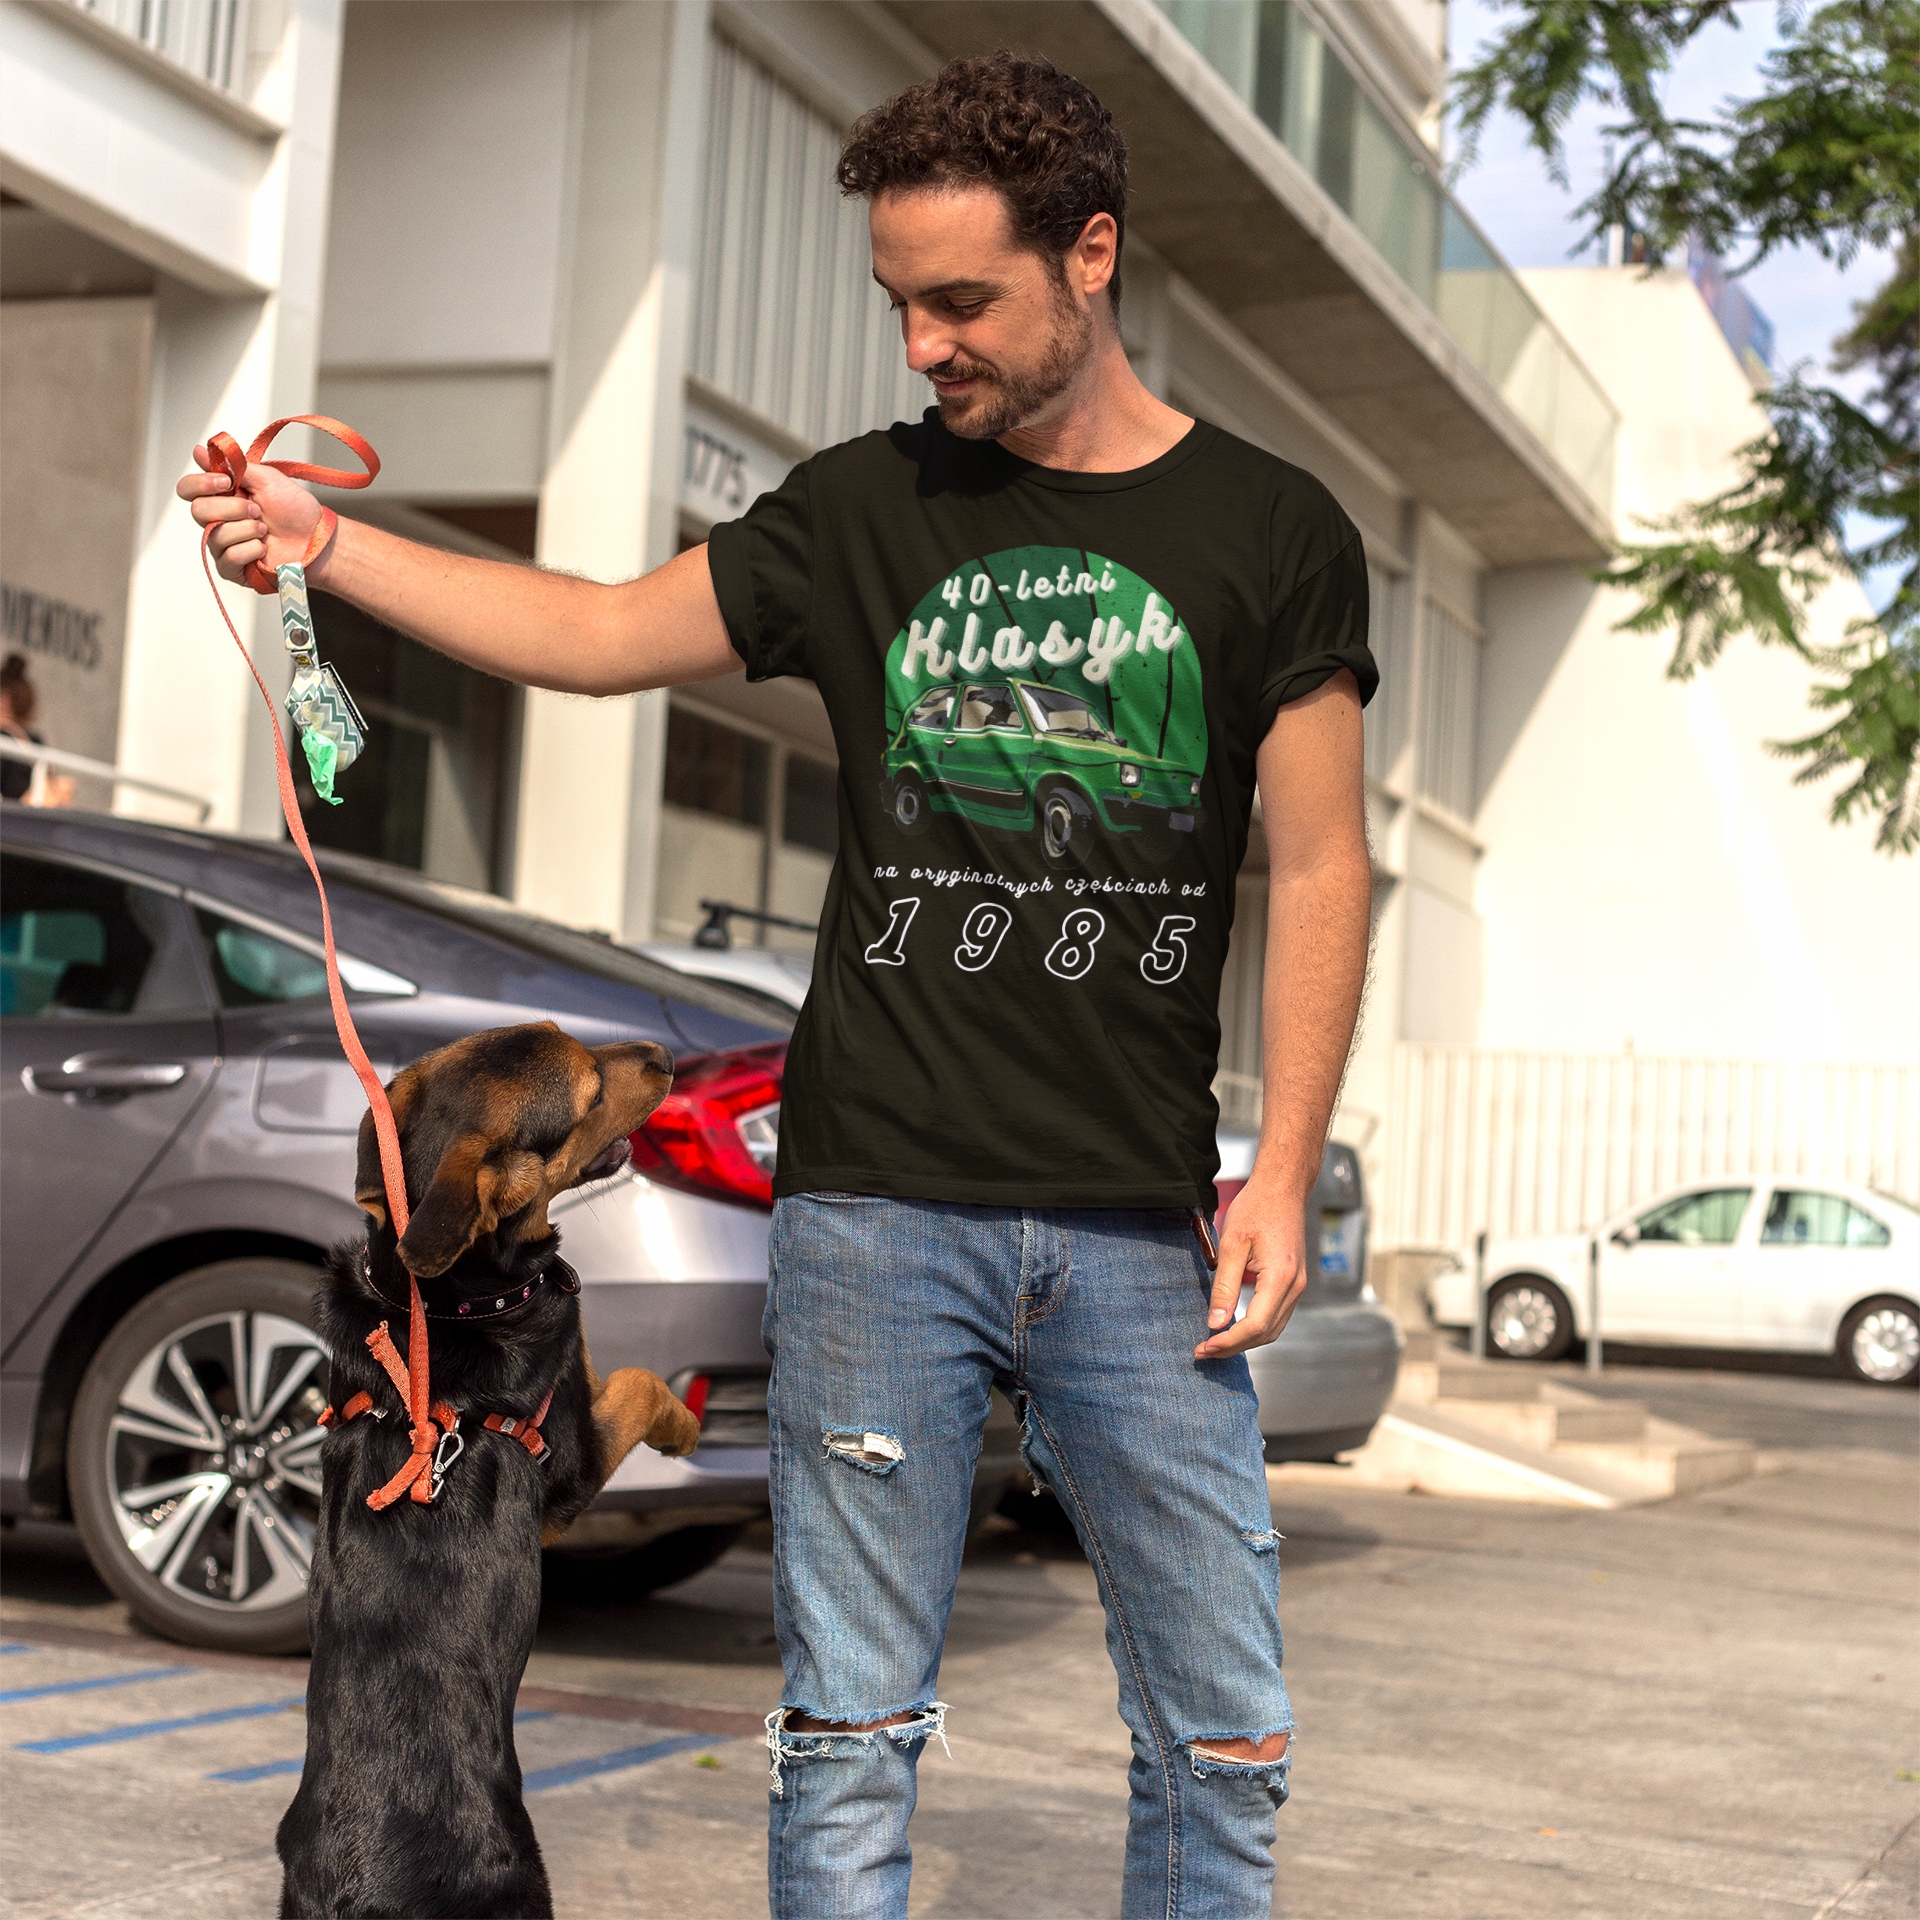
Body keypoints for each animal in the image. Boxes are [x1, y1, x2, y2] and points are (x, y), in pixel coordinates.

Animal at [277, 1022, 702, 1920]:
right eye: (587, 1092)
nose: (665, 1056)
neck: (439, 1300)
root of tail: (366, 1891)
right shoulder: (571, 1461)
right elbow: (639, 1383)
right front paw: (686, 1428)